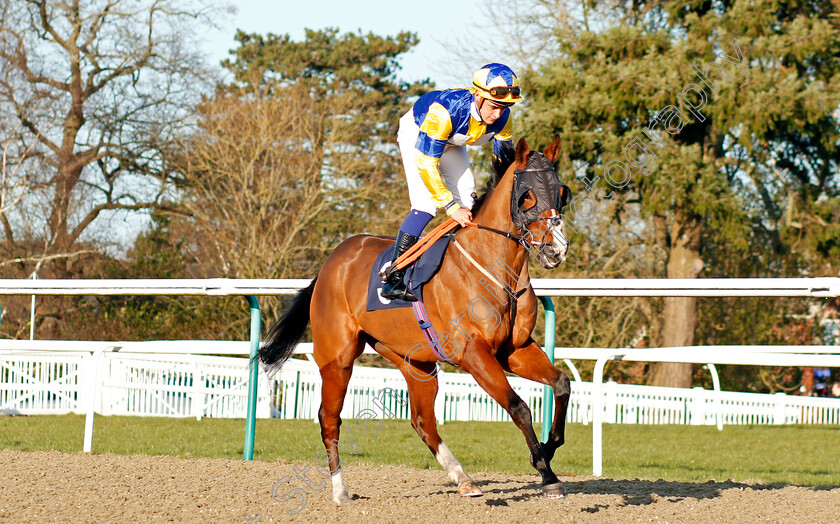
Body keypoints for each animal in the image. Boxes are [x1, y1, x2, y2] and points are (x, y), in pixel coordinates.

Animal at [260, 136, 572, 504]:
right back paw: (340, 490)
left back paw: (463, 477)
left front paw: (549, 448)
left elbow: (561, 384)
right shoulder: (474, 354)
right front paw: (547, 473)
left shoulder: (515, 349)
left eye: (562, 192)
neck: (493, 269)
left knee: (422, 420)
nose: (556, 249)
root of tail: (330, 263)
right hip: (337, 358)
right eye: (527, 196)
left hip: (416, 363)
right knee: (329, 418)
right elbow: (519, 406)